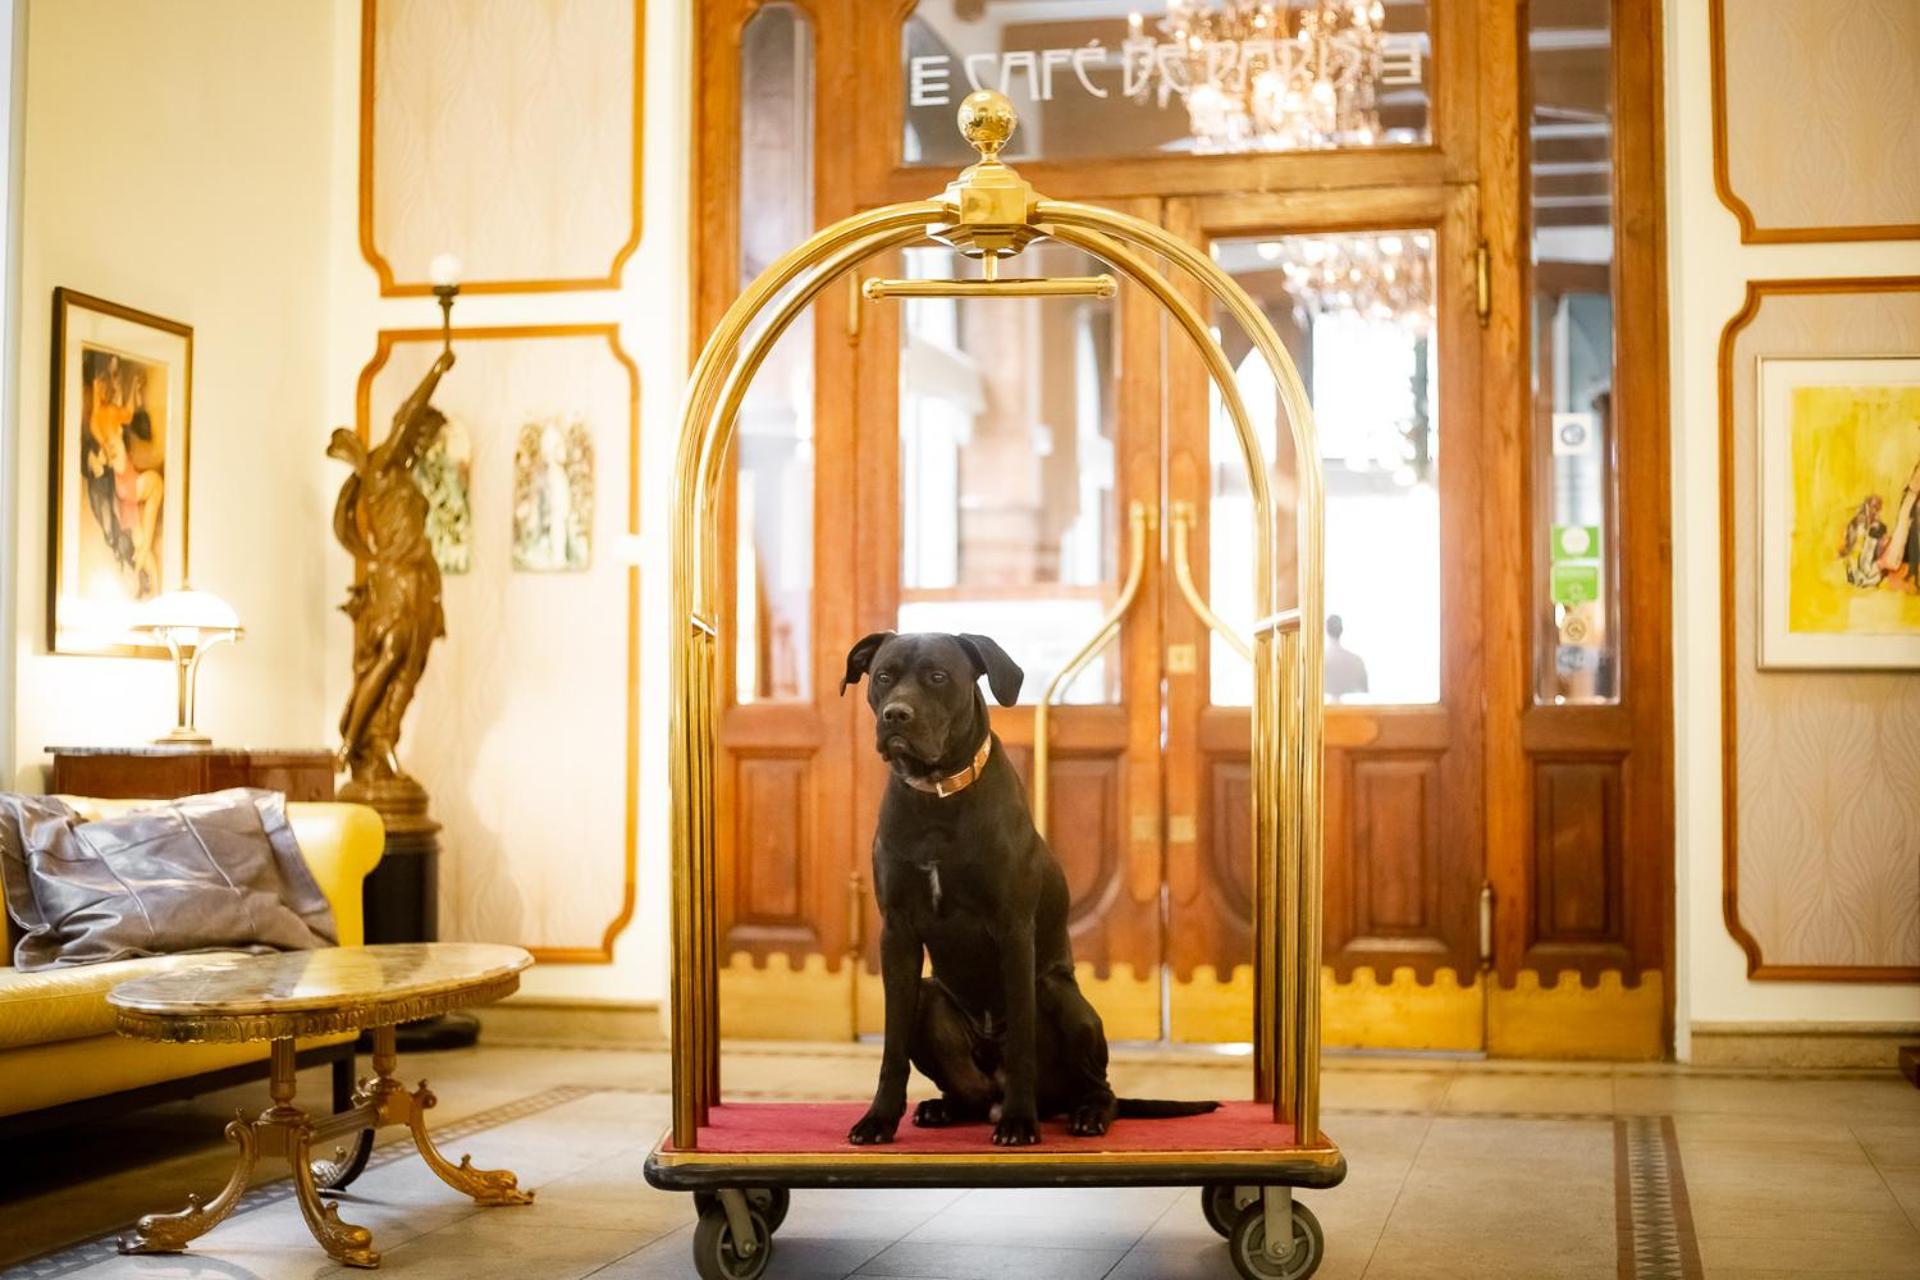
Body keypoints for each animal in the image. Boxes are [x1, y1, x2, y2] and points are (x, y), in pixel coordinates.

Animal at [840, 637, 1213, 1143]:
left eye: (938, 677)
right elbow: (891, 1046)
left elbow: (1020, 1041)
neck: (938, 796)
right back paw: (942, 1108)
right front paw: (878, 1119)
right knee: (966, 1092)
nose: (896, 714)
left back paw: (1084, 1113)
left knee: (1101, 1089)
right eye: (883, 676)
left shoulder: (1013, 929)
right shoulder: (897, 933)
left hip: (1062, 998)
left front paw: (1019, 1122)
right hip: (928, 997)